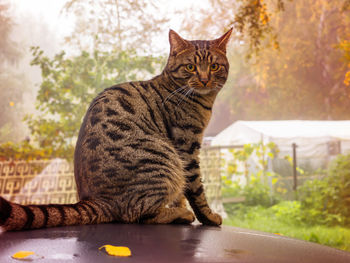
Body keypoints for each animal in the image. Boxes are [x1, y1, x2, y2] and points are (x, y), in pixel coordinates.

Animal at [0, 27, 232, 232]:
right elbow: (196, 189)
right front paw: (208, 216)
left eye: (214, 67)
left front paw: (184, 207)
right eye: (191, 67)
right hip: (164, 159)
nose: (205, 79)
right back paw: (180, 215)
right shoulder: (186, 147)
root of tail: (96, 199)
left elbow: (182, 192)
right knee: (138, 213)